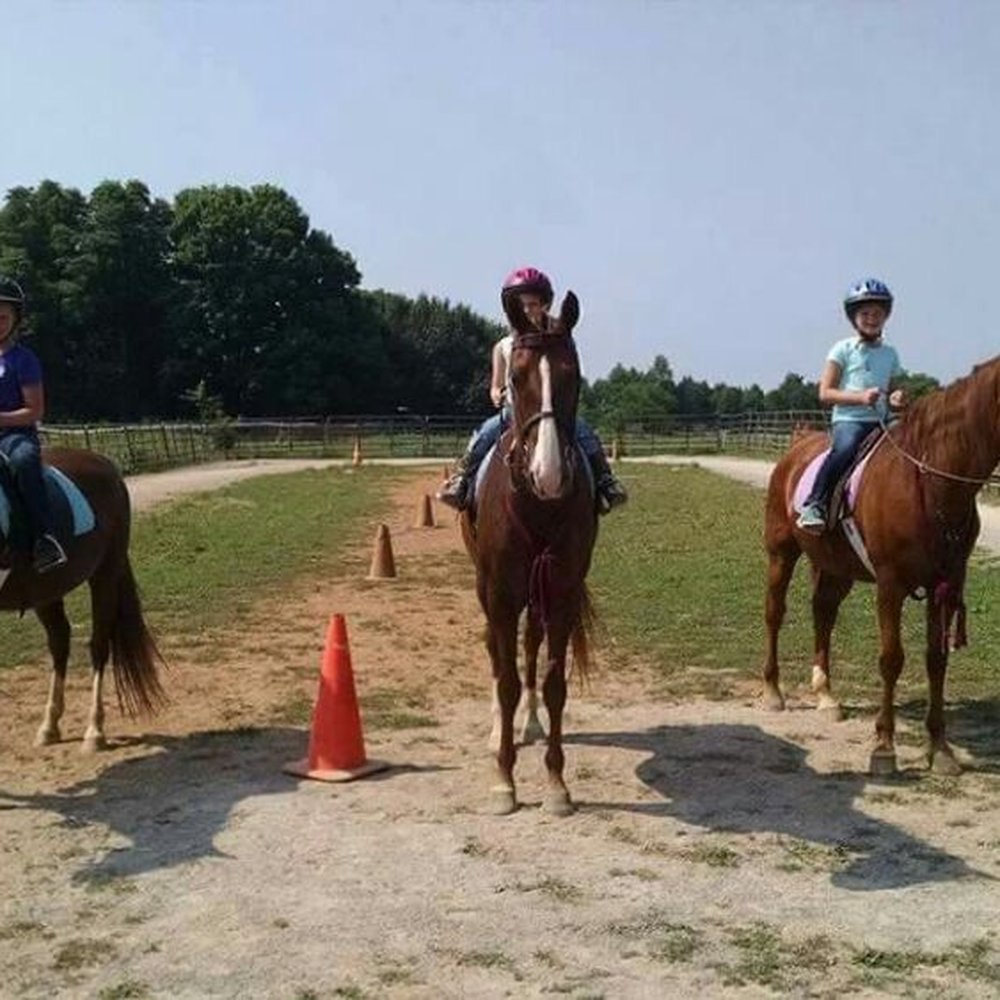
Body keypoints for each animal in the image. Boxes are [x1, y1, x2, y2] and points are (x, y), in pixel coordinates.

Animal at [1, 448, 164, 752]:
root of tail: (103, 463)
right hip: (47, 589)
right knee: (59, 642)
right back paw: (49, 727)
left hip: (105, 575)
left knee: (98, 645)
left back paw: (94, 731)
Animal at [458, 292, 592, 816]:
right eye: (515, 378)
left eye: (575, 375)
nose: (548, 473)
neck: (537, 504)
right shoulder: (499, 593)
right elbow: (507, 680)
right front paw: (503, 782)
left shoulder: (563, 592)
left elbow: (553, 683)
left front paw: (556, 784)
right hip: (489, 589)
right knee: (498, 656)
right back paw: (501, 727)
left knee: (530, 646)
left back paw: (528, 725)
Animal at [760, 356, 1000, 776]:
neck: (930, 482)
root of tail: (797, 445)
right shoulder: (890, 584)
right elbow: (891, 659)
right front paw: (884, 747)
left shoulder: (947, 584)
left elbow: (936, 661)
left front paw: (941, 749)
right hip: (781, 553)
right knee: (775, 612)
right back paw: (774, 691)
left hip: (837, 567)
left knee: (823, 612)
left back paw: (826, 695)